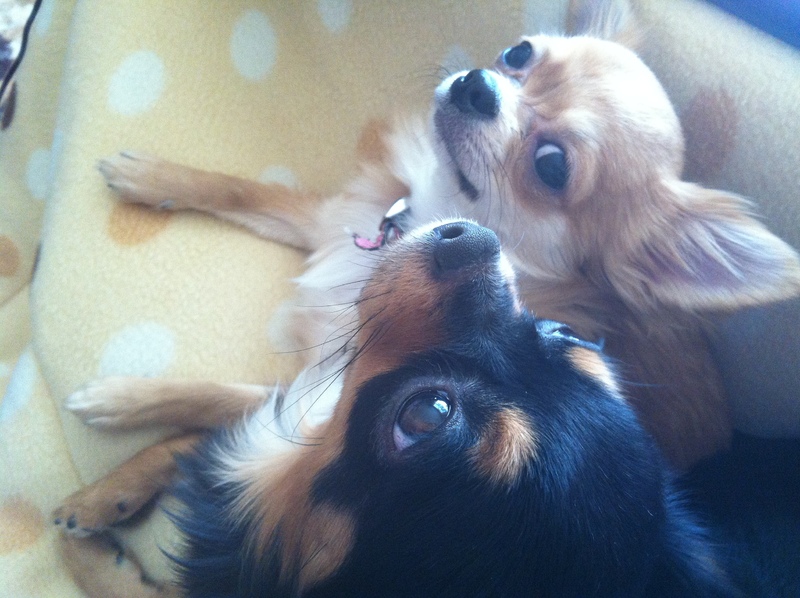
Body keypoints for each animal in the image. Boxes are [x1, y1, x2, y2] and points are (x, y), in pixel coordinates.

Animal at [54, 0, 800, 594]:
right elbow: (244, 190)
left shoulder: (340, 385)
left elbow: (215, 396)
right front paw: (149, 176)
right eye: (519, 54)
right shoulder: (334, 230)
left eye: (552, 165)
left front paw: (118, 403)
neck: (417, 219)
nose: (478, 84)